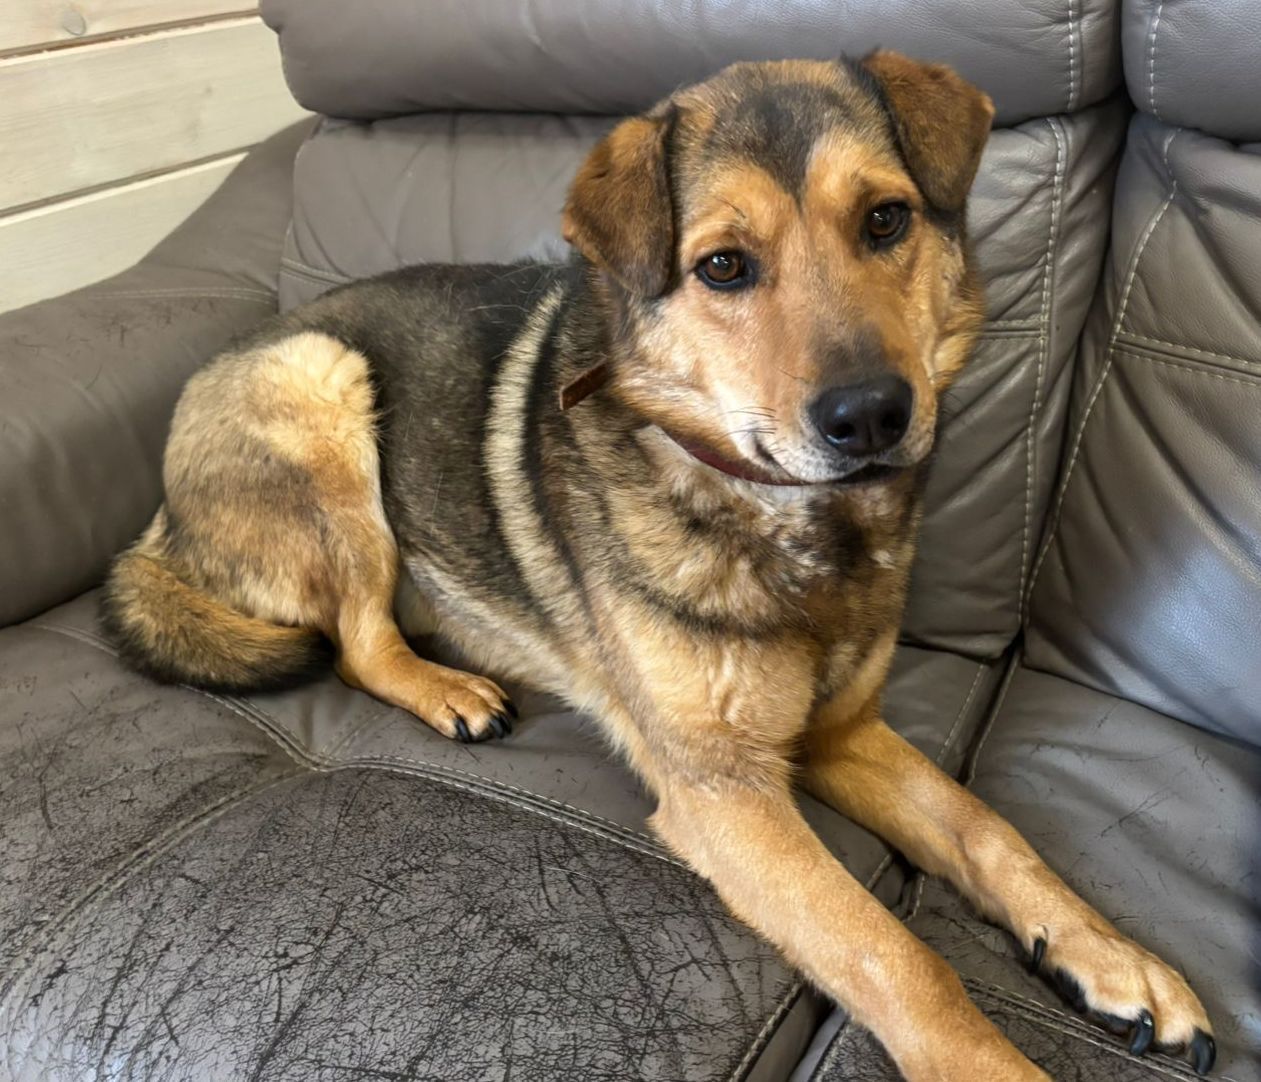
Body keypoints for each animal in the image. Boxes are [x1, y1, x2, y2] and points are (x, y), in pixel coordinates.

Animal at [101, 53, 1215, 1081]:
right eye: (723, 267)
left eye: (886, 220)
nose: (870, 416)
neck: (784, 520)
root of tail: (156, 518)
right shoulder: (726, 796)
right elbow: (893, 953)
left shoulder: (843, 736)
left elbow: (987, 832)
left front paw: (1107, 954)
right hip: (325, 385)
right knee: (358, 644)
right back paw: (447, 686)